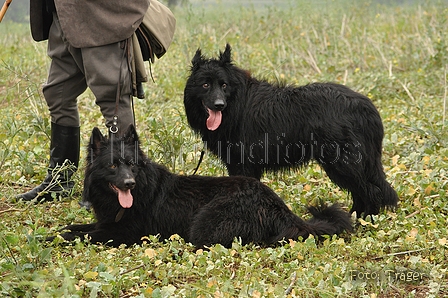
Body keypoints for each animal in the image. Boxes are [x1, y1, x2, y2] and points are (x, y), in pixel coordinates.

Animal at [47, 124, 352, 247]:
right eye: (112, 167)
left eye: (132, 165)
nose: (129, 183)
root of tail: (279, 206)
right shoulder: (106, 222)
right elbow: (76, 227)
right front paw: (54, 232)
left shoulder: (123, 233)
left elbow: (80, 235)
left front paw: (51, 238)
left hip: (203, 225)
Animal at [184, 43, 398, 218]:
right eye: (205, 84)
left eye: (224, 85)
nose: (219, 105)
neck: (236, 102)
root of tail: (366, 106)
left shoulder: (242, 164)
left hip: (342, 163)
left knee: (371, 191)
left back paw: (365, 220)